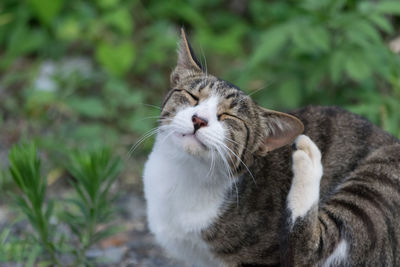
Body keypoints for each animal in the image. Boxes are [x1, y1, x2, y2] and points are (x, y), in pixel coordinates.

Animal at [143, 28, 400, 266]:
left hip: (377, 180)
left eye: (229, 117)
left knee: (309, 251)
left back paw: (309, 159)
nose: (199, 120)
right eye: (192, 96)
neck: (183, 173)